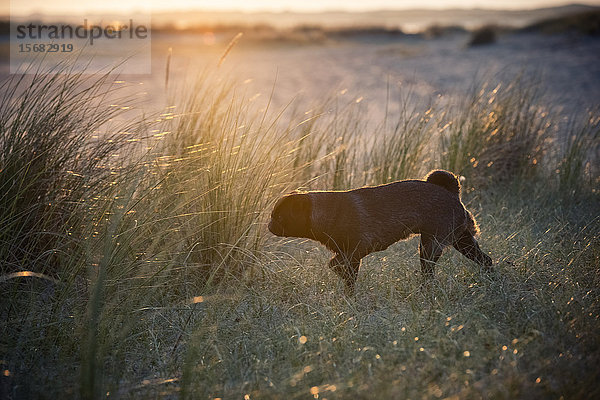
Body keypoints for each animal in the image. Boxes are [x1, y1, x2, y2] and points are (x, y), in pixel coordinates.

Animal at [268, 169, 492, 294]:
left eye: (279, 217)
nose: (270, 225)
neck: (329, 212)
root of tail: (451, 193)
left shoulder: (355, 252)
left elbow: (341, 270)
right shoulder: (348, 254)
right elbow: (343, 272)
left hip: (431, 246)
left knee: (428, 272)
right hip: (462, 241)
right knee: (485, 259)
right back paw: (490, 279)